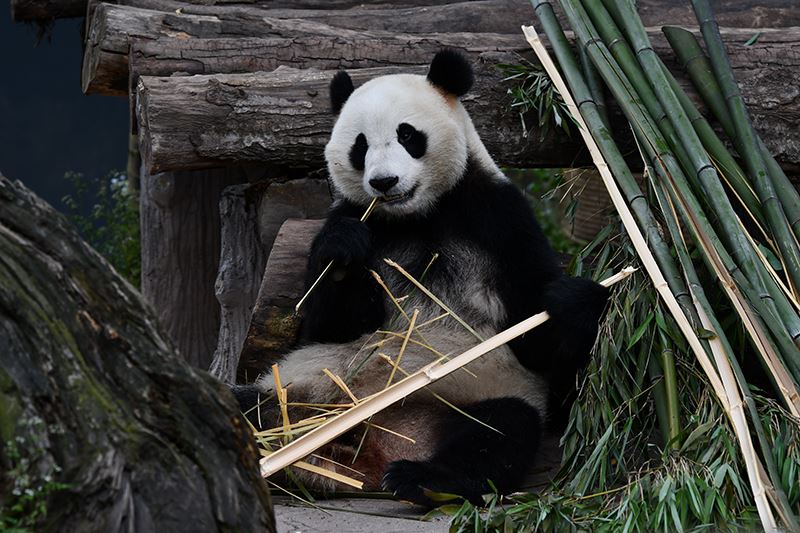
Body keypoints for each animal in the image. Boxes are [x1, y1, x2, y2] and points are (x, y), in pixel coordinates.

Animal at [234, 51, 608, 508]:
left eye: (408, 135)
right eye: (360, 146)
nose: (384, 182)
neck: (416, 216)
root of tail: (372, 451)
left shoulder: (500, 218)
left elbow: (532, 333)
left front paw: (572, 300)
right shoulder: (356, 219)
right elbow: (326, 326)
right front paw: (343, 249)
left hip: (484, 391)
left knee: (499, 432)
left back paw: (422, 478)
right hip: (300, 386)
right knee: (247, 403)